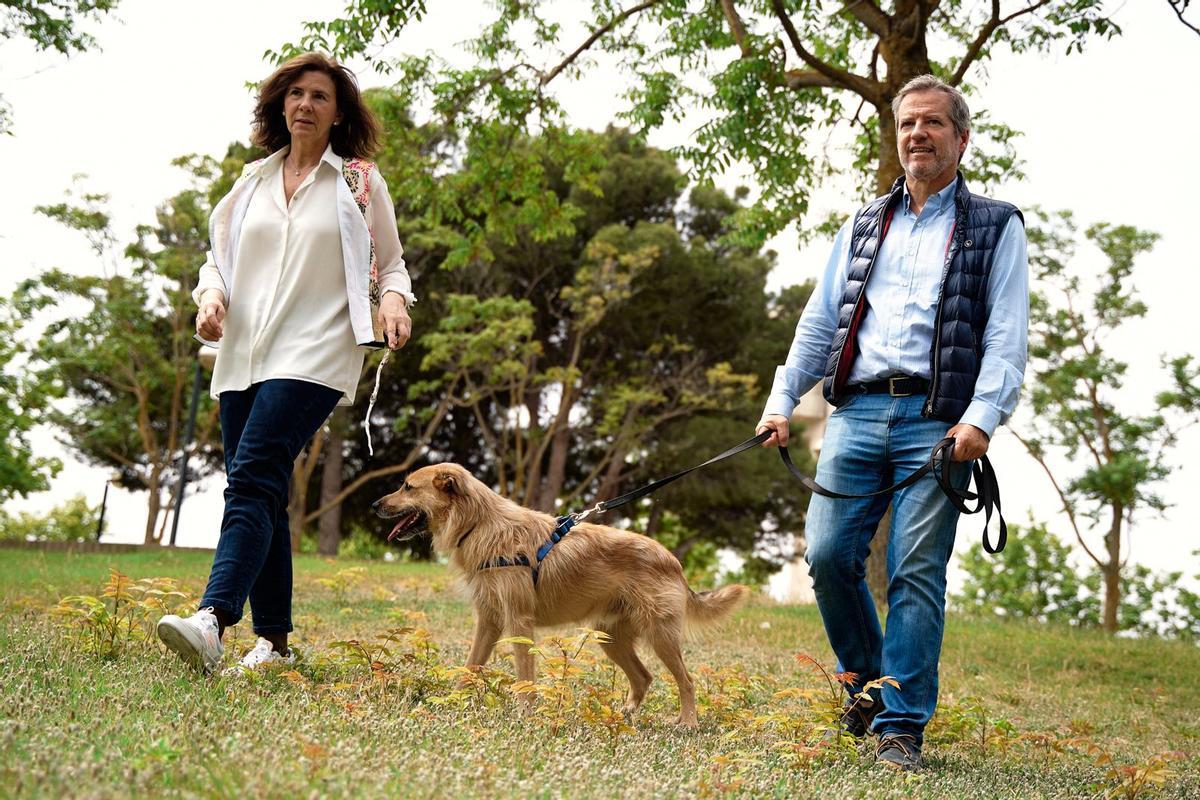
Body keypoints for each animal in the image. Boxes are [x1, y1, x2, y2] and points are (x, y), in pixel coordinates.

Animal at [372, 460, 748, 729]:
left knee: (687, 680)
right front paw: (453, 702)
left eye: (407, 486)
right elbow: (470, 666)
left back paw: (688, 723)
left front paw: (525, 715)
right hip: (612, 639)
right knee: (644, 676)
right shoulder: (489, 622)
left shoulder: (519, 622)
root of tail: (673, 561)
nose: (374, 504)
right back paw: (626, 716)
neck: (480, 523)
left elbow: (524, 676)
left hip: (660, 636)